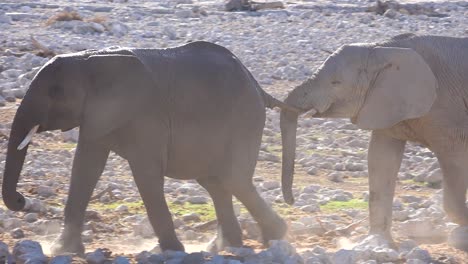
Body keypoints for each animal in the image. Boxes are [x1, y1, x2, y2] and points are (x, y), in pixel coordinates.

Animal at [2, 41, 296, 256]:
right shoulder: (98, 116)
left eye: (55, 92)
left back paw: (274, 236)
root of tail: (256, 84)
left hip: (244, 119)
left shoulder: (146, 116)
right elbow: (85, 169)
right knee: (215, 182)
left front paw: (172, 251)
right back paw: (227, 246)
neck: (90, 60)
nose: (22, 200)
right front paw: (61, 251)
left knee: (232, 178)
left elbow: (146, 173)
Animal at [280, 33, 468, 250]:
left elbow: (455, 158)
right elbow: (381, 159)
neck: (385, 48)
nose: (291, 201)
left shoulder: (447, 108)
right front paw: (377, 243)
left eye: (336, 83)